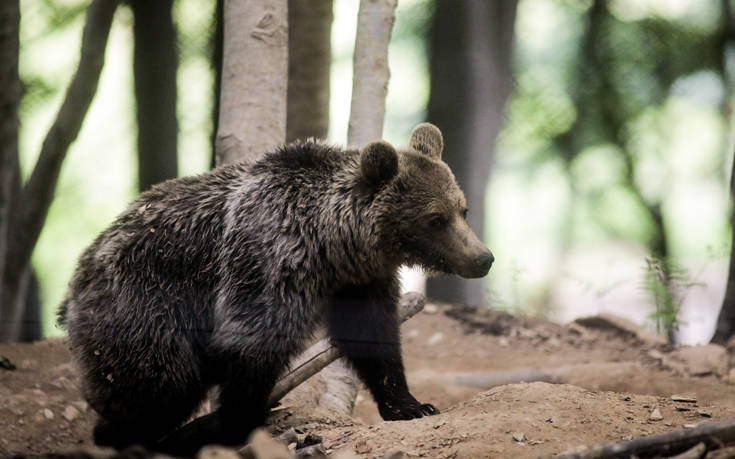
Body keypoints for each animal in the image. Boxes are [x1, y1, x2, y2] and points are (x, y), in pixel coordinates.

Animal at [59, 123, 494, 456]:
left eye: (463, 210)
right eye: (435, 219)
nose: (483, 258)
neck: (332, 246)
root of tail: (80, 273)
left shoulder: (360, 281)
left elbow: (374, 339)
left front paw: (412, 405)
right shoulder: (268, 263)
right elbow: (255, 342)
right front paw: (232, 424)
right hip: (146, 305)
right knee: (158, 381)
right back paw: (128, 435)